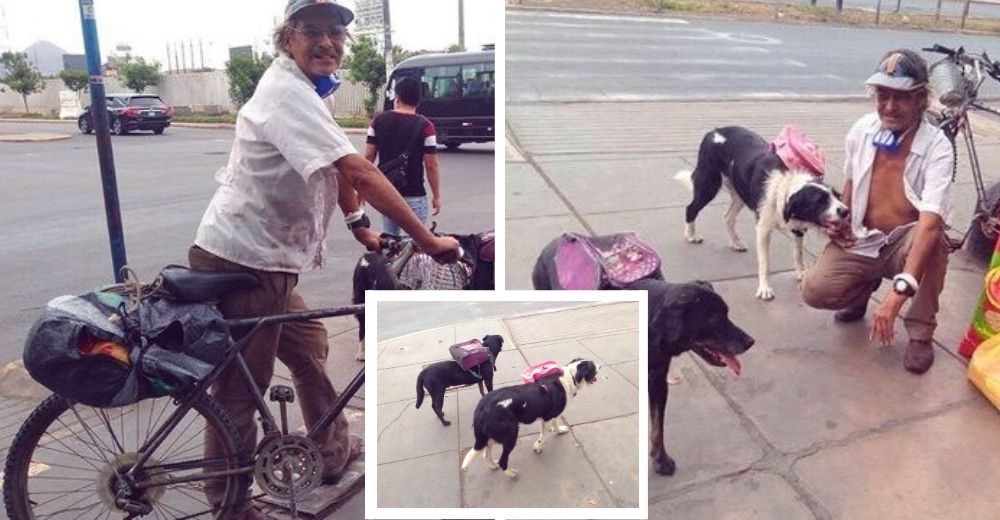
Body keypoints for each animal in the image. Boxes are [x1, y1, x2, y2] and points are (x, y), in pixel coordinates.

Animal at [458, 360, 596, 478]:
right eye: (593, 368)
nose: (599, 366)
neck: (569, 378)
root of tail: (482, 408)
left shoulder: (552, 414)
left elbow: (555, 424)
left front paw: (559, 431)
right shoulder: (547, 418)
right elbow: (542, 436)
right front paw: (538, 447)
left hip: (490, 435)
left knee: (485, 455)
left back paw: (493, 465)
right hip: (510, 434)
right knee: (503, 460)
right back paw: (511, 473)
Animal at [532, 235, 752, 476]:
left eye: (727, 313)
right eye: (713, 320)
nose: (750, 341)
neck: (653, 323)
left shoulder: (658, 380)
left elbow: (658, 425)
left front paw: (660, 459)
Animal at [676, 125, 848, 300]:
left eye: (836, 196)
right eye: (819, 201)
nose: (845, 211)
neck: (784, 186)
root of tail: (714, 131)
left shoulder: (798, 228)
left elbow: (798, 253)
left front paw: (800, 272)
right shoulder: (763, 229)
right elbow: (765, 263)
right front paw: (765, 288)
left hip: (740, 193)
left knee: (728, 217)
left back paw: (735, 242)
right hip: (709, 183)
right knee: (691, 208)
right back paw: (691, 235)